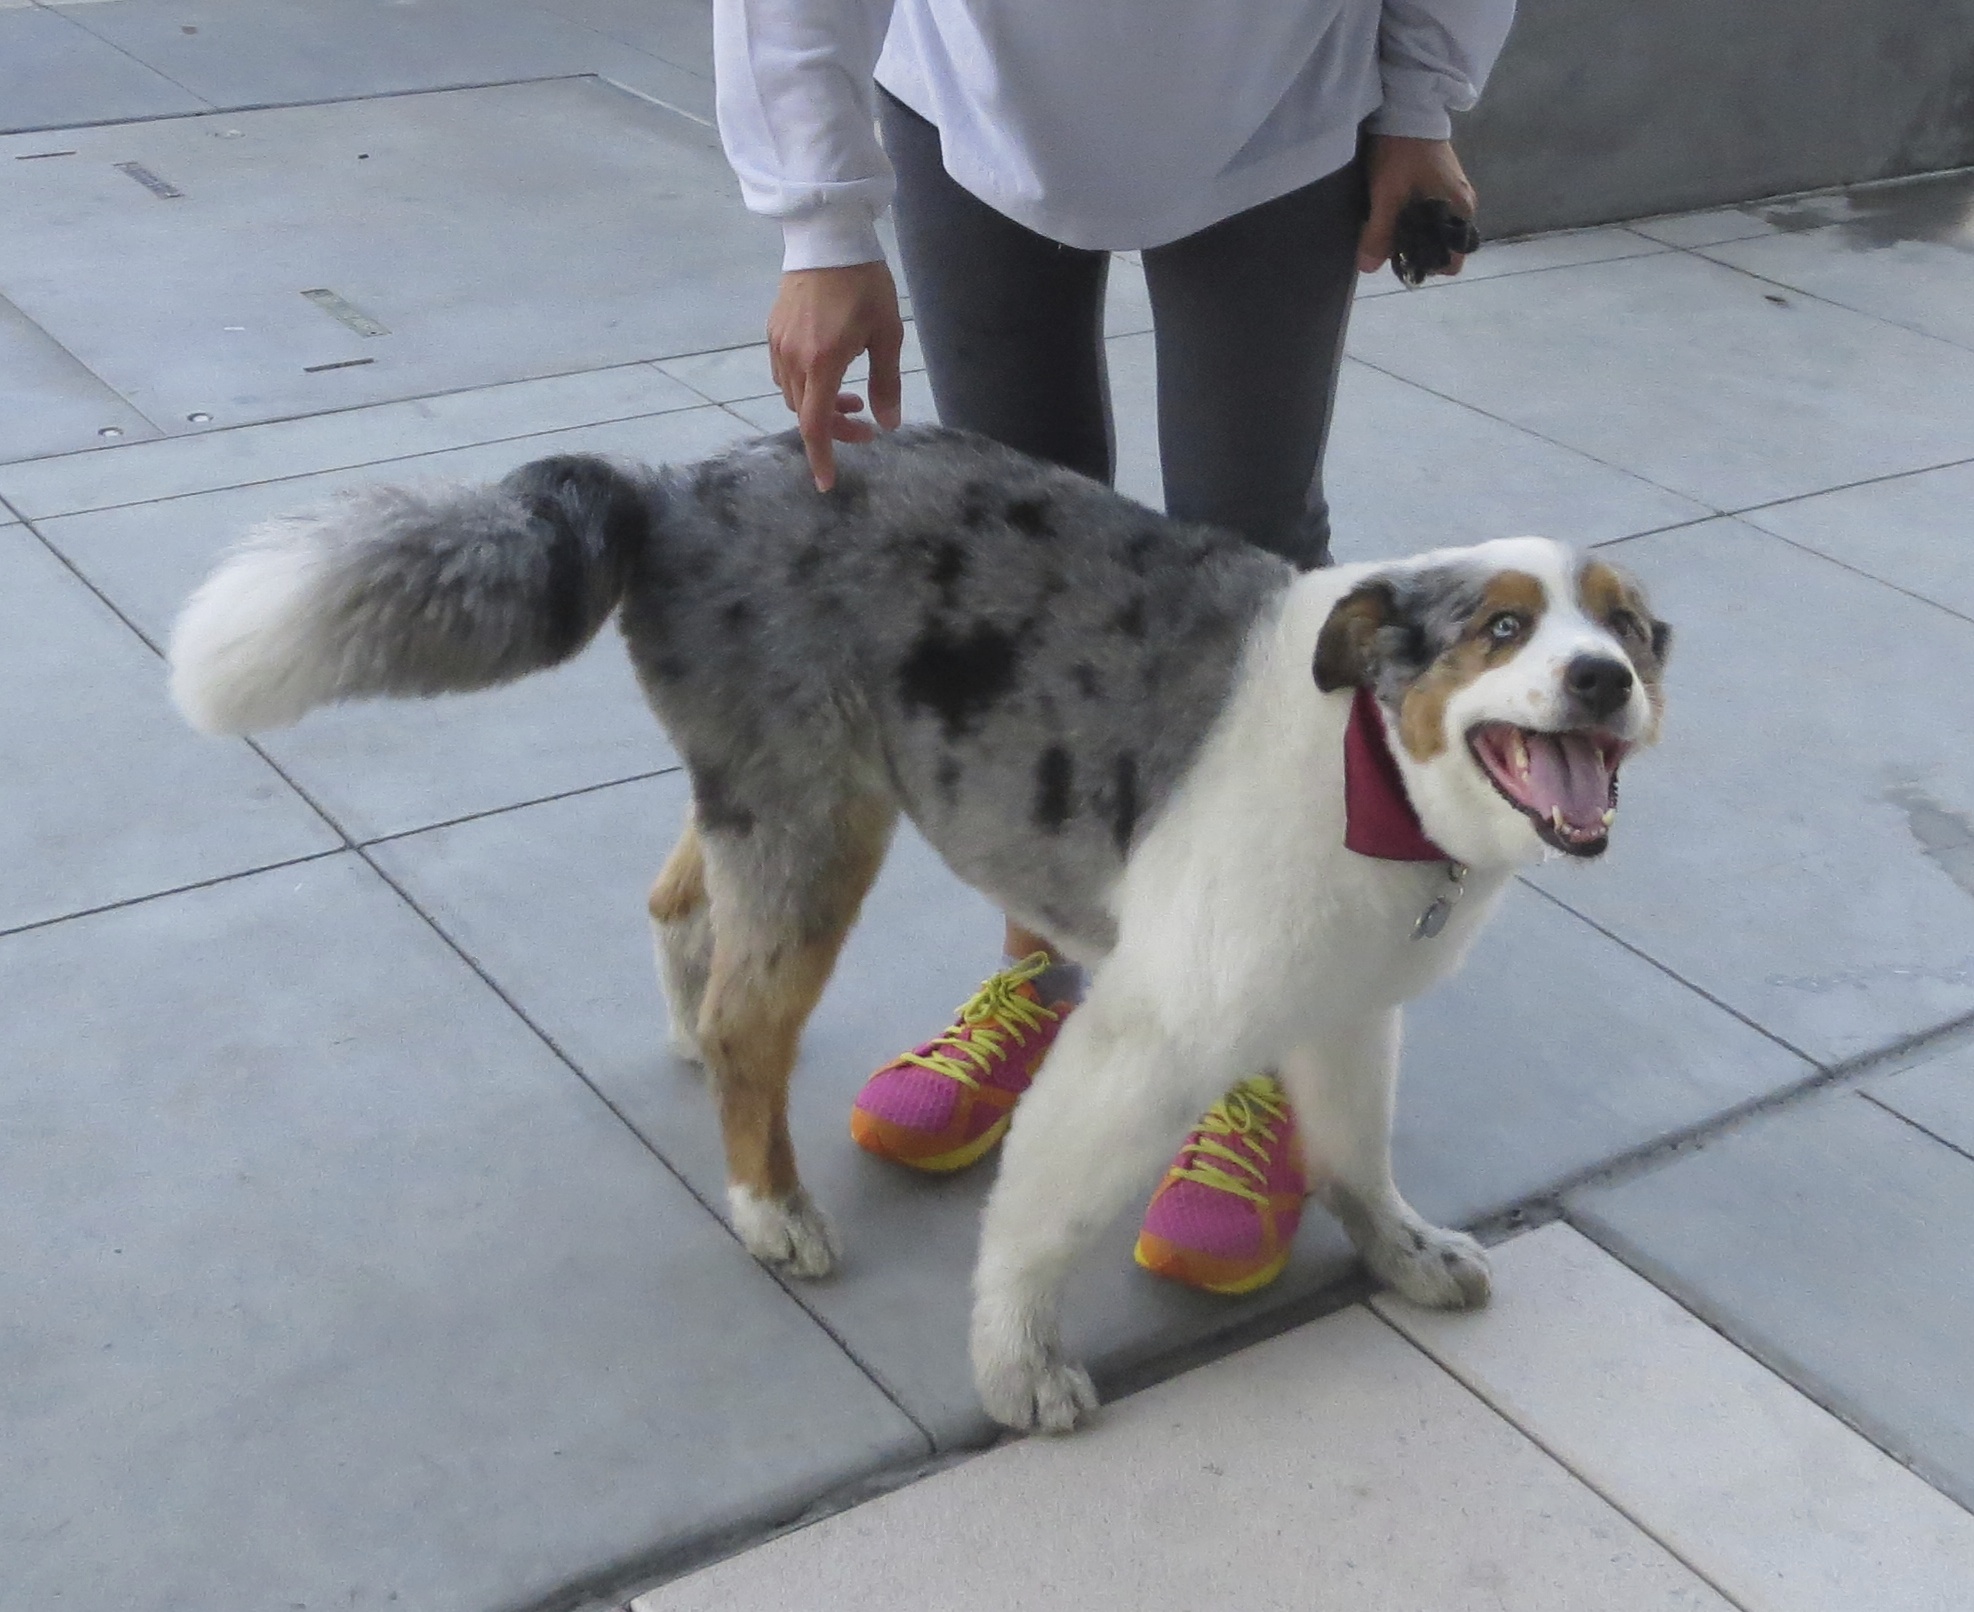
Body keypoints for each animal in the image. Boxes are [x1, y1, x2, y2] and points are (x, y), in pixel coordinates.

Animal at [169, 422, 1673, 1428]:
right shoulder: (1141, 1035)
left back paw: (686, 1035)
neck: (1362, 760)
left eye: (1630, 631)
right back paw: (769, 1207)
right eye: (1498, 629)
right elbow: (1042, 1219)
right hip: (821, 819)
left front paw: (1402, 1252)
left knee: (680, 903)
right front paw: (1019, 1368)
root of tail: (676, 488)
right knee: (753, 1022)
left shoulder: (1350, 1005)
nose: (1602, 681)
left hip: (770, 797)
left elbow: (1356, 1156)